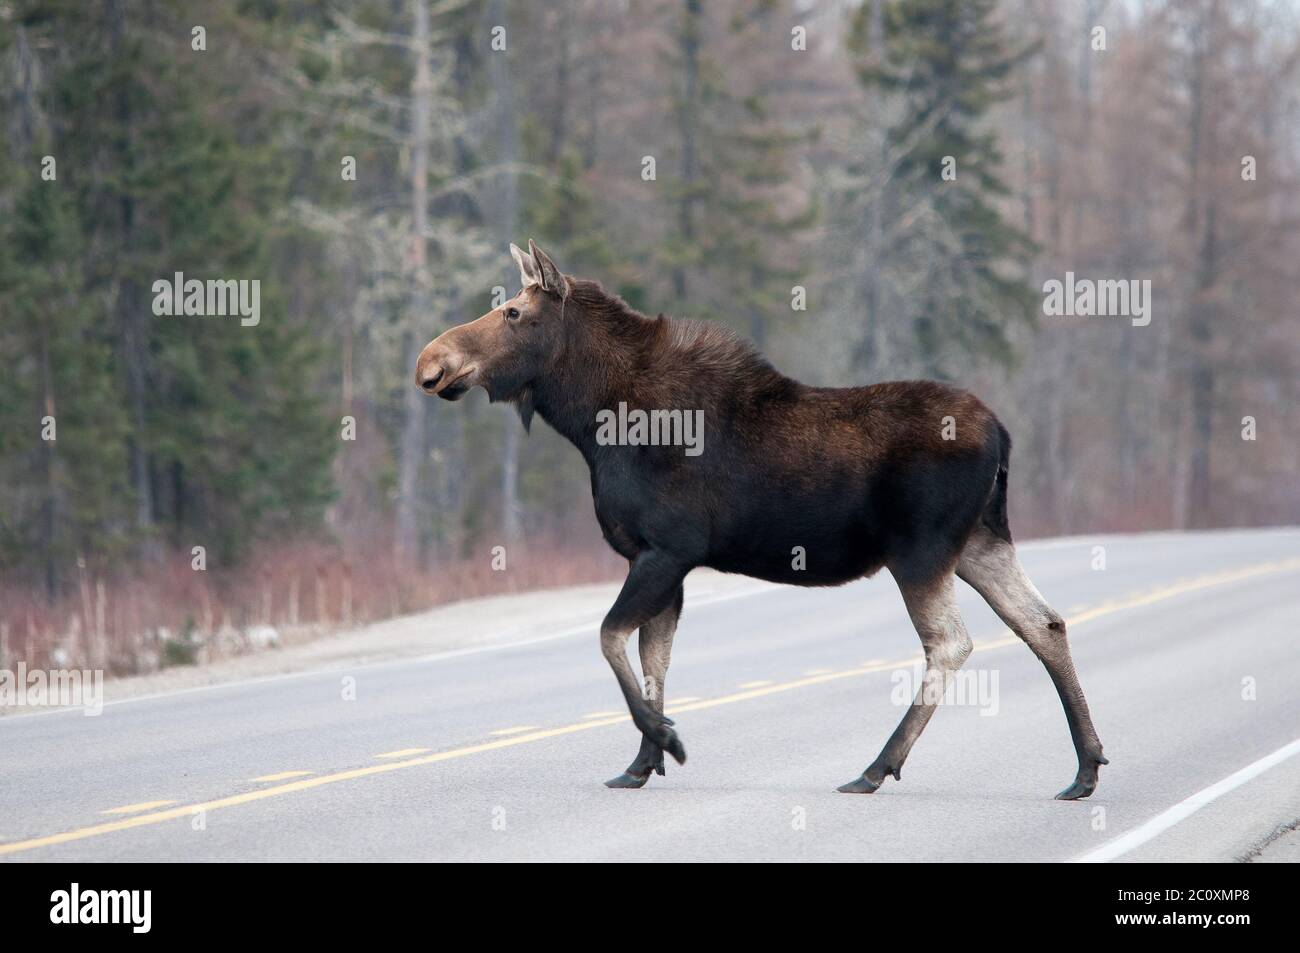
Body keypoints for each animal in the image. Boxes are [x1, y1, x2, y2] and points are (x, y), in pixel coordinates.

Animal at [416, 241, 1107, 800]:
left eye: (513, 312)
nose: (431, 361)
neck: (592, 422)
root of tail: (1003, 436)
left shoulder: (667, 549)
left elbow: (612, 639)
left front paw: (667, 742)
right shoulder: (664, 562)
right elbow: (653, 659)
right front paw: (641, 763)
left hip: (922, 551)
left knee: (951, 643)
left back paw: (875, 769)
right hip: (980, 542)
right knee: (1043, 623)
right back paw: (1085, 768)